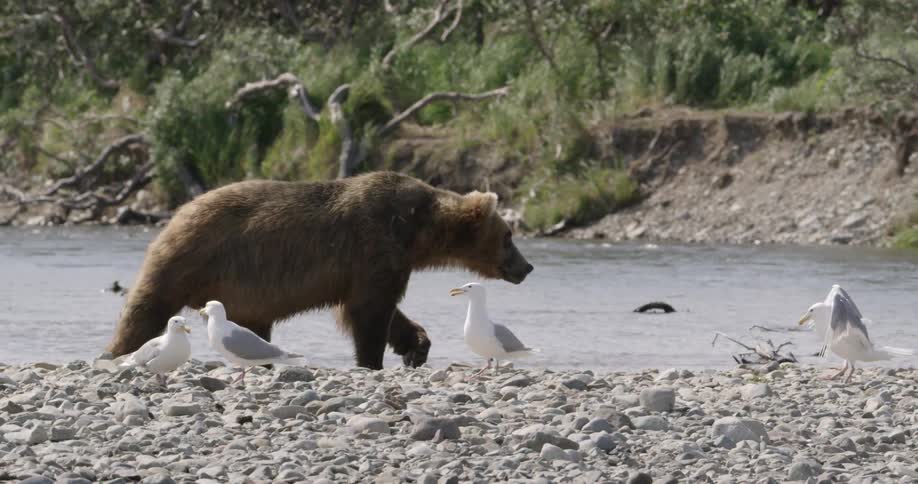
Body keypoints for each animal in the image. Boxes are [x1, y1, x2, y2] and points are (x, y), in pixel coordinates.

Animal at [107, 171, 533, 369]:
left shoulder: (383, 262)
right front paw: (372, 360)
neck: (417, 230)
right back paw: (120, 351)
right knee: (147, 309)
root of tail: (177, 212)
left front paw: (416, 346)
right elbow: (369, 312)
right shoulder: (375, 246)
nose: (527, 266)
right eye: (508, 235)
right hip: (190, 259)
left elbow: (381, 309)